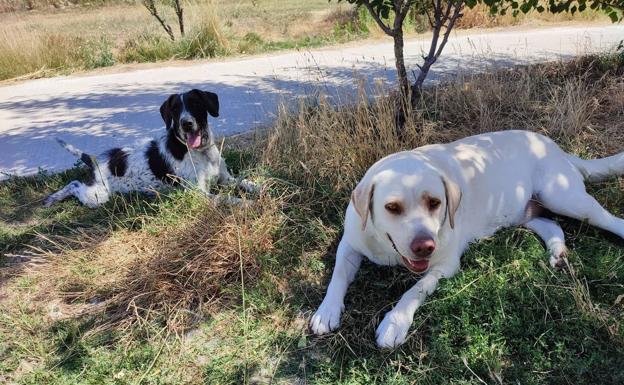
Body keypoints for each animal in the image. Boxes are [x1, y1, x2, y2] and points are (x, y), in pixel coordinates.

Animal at [44, 88, 256, 207]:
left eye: (195, 103)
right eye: (175, 109)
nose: (186, 124)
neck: (201, 152)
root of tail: (95, 161)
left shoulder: (226, 179)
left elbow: (248, 183)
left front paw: (261, 190)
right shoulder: (199, 193)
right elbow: (227, 198)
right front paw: (250, 204)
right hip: (97, 196)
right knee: (74, 184)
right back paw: (53, 198)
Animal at [310, 130, 624, 348]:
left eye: (435, 202)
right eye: (392, 207)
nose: (424, 246)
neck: (389, 248)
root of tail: (555, 146)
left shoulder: (445, 265)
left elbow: (415, 289)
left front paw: (395, 322)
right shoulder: (349, 243)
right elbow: (338, 275)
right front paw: (327, 310)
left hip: (564, 198)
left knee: (611, 221)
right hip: (527, 212)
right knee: (553, 227)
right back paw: (557, 254)